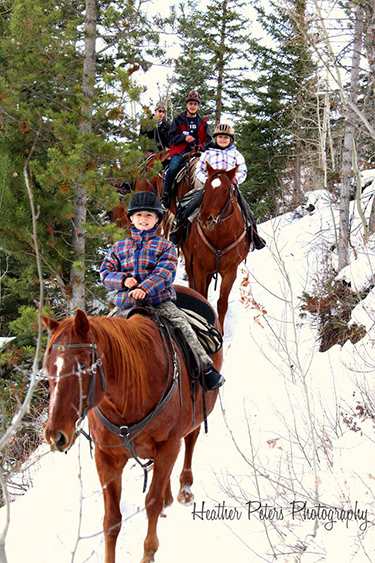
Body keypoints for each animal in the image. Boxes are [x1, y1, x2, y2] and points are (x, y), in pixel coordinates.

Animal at [42, 286, 222, 563]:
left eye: (82, 366)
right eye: (48, 368)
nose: (55, 436)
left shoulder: (168, 445)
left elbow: (152, 502)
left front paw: (149, 552)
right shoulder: (106, 458)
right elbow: (111, 520)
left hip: (196, 415)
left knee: (190, 442)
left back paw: (184, 489)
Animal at [181, 163, 251, 330]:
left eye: (225, 190)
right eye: (206, 187)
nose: (205, 219)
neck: (220, 236)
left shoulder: (230, 271)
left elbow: (222, 303)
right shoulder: (198, 267)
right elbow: (201, 295)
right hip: (189, 261)